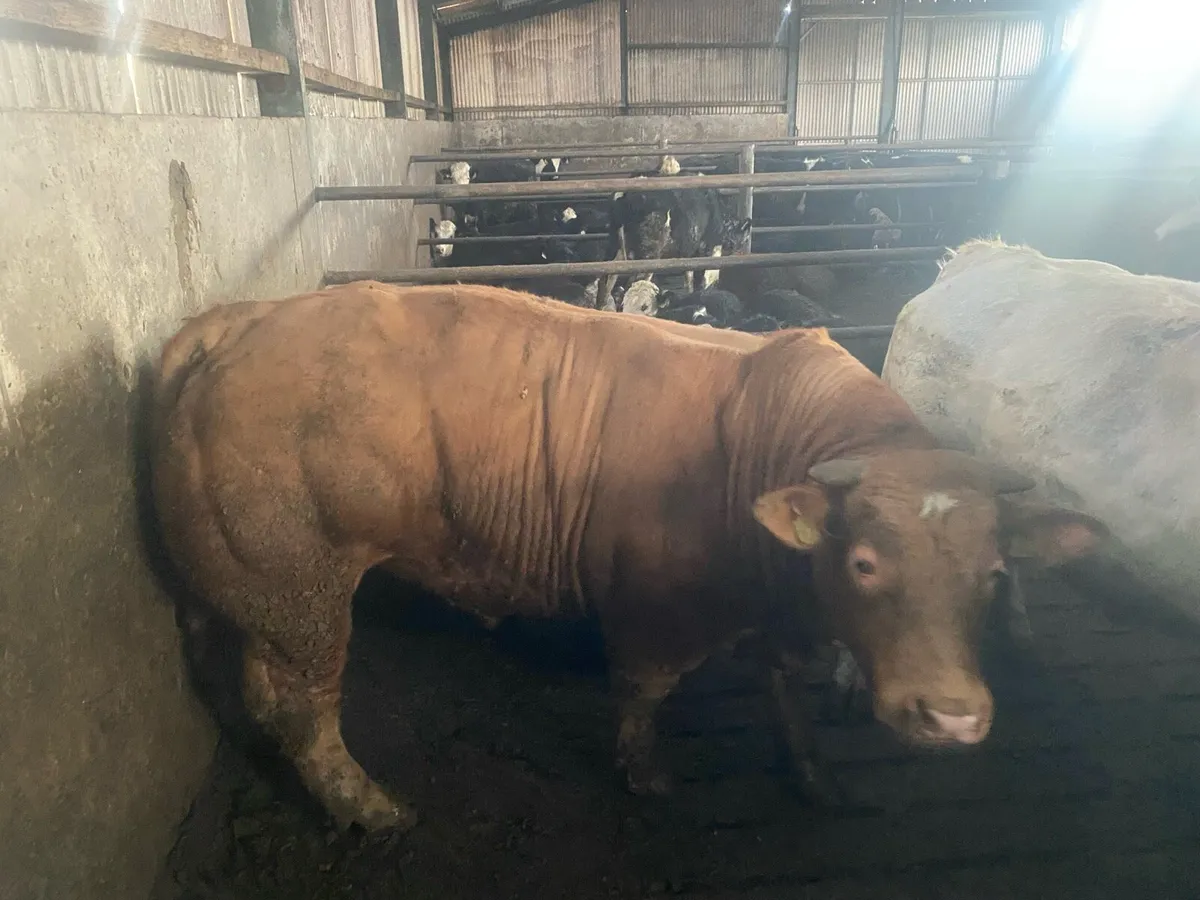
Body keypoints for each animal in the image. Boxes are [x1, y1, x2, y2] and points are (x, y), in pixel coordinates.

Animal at [150, 282, 1108, 833]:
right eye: (866, 563)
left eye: (994, 574)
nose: (951, 716)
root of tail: (240, 320)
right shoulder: (660, 603)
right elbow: (645, 692)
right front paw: (645, 776)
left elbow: (784, 696)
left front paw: (815, 779)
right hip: (301, 585)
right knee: (306, 710)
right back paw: (370, 808)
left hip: (247, 589)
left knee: (248, 686)